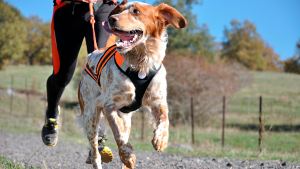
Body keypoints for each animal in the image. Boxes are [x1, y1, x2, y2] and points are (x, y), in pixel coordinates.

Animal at [77, 0, 185, 168]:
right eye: (119, 10)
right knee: (95, 154)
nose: (111, 19)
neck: (140, 63)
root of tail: (91, 55)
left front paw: (161, 139)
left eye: (136, 11)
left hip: (125, 118)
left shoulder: (158, 100)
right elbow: (119, 133)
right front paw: (128, 155)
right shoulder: (109, 105)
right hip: (90, 116)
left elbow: (165, 118)